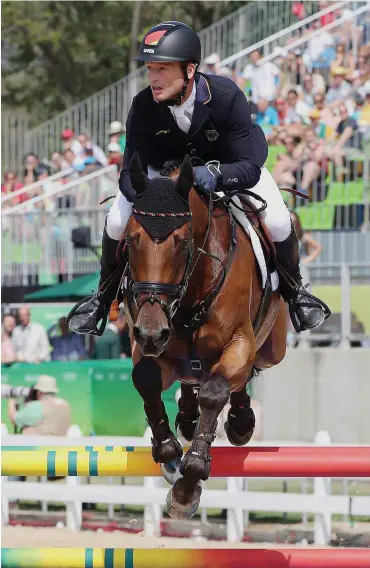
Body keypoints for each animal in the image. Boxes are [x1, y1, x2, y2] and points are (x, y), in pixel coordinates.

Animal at [120, 153, 288, 520]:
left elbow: (215, 391)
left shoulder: (240, 342)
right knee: (192, 378)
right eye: (129, 241)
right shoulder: (149, 348)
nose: (152, 333)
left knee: (241, 374)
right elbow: (146, 378)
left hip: (272, 349)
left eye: (183, 242)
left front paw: (186, 487)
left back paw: (240, 421)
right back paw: (188, 415)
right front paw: (169, 455)